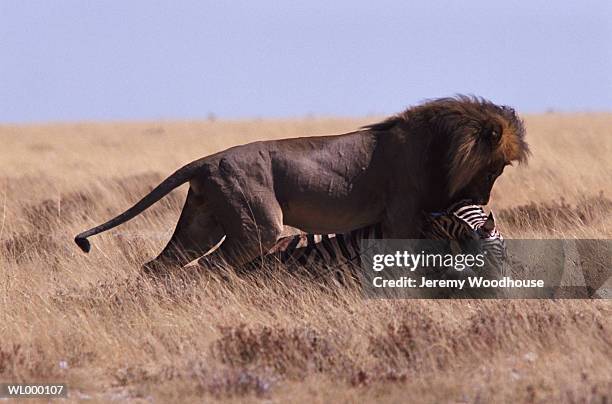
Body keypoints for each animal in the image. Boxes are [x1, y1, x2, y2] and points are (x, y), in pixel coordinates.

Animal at [74, 95, 528, 274]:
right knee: (209, 268)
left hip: (201, 222)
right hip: (257, 227)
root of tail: (207, 160)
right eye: (495, 170)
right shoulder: (401, 218)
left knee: (159, 266)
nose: (481, 200)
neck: (439, 149)